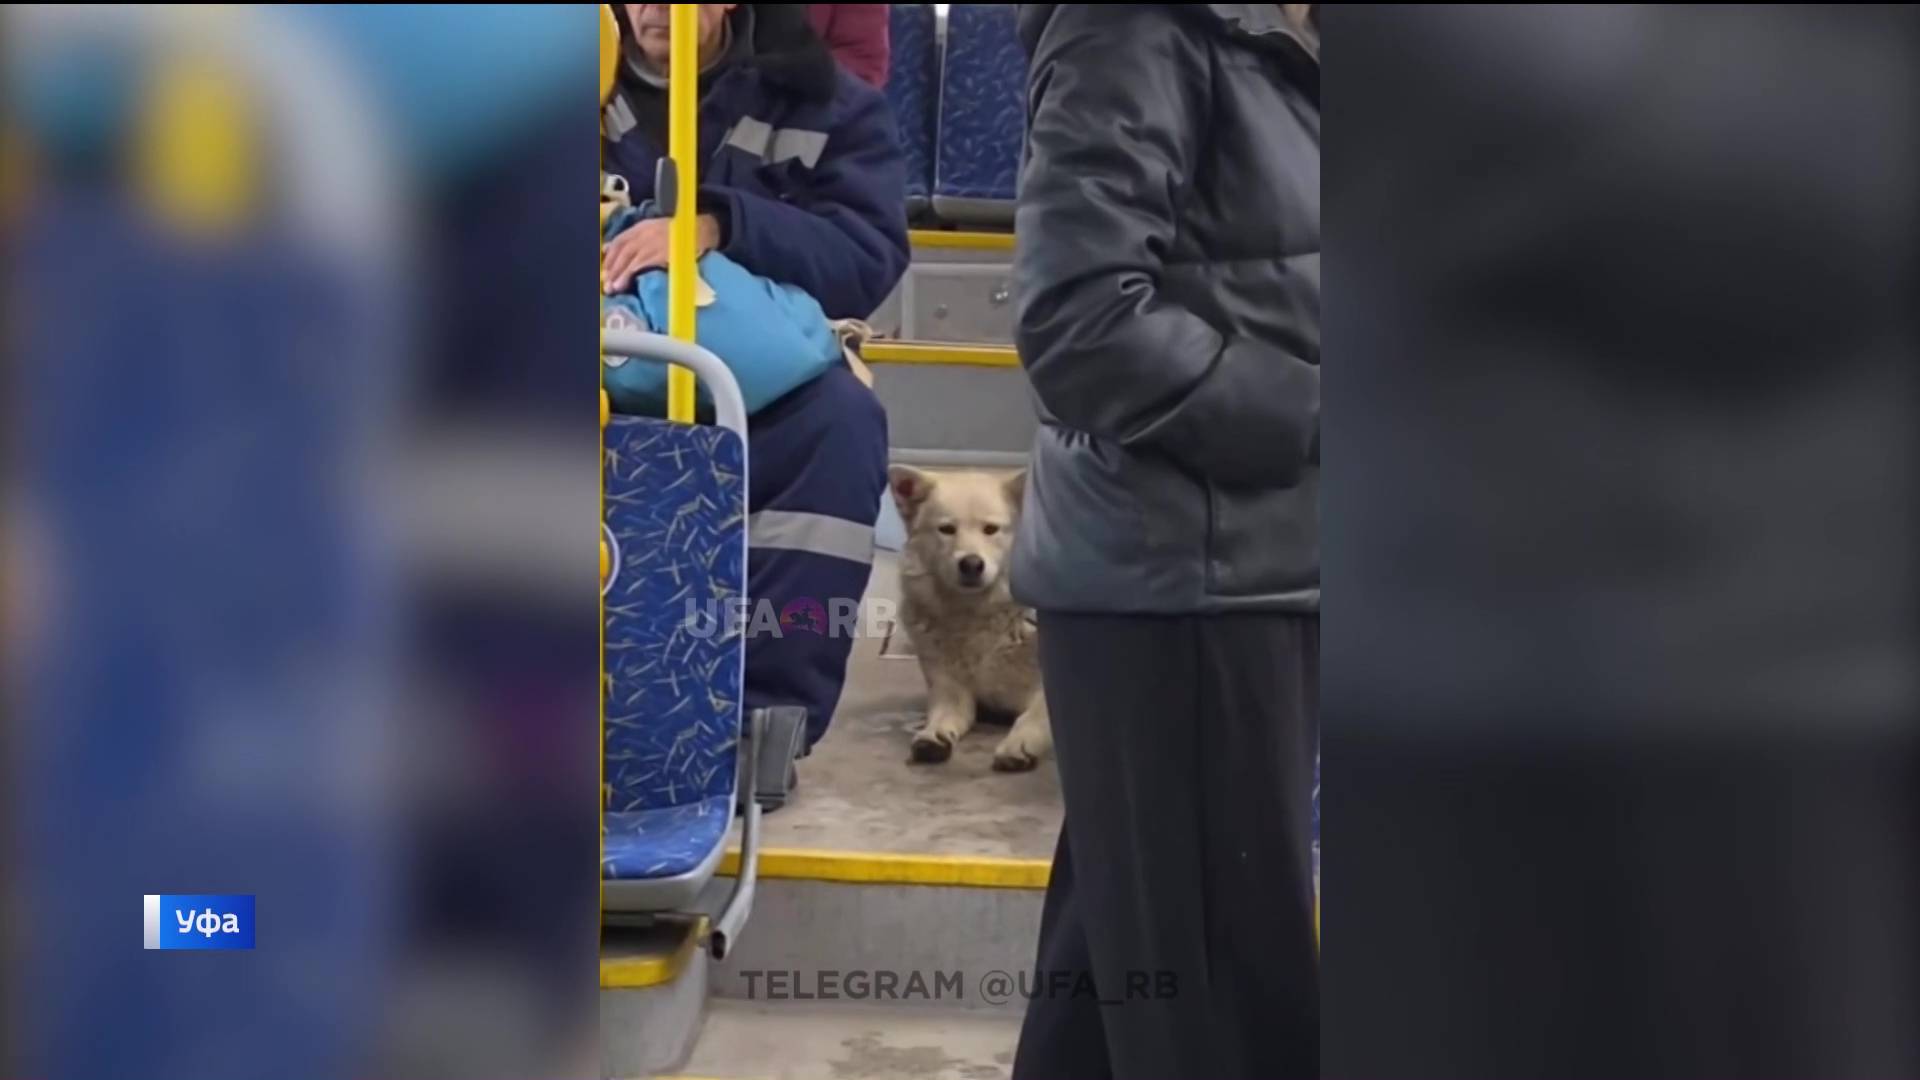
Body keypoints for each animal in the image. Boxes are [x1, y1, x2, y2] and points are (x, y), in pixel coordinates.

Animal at [890, 461, 1059, 764]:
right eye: (946, 529)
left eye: (991, 529)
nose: (971, 564)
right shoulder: (950, 692)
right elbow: (943, 716)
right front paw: (933, 735)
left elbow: (1032, 716)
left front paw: (1019, 742)